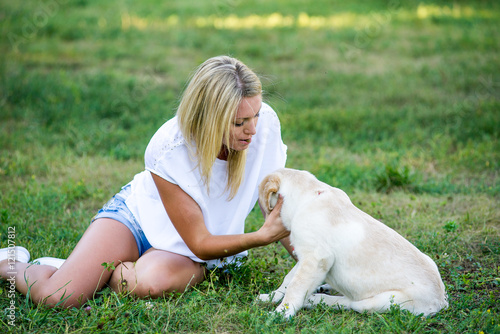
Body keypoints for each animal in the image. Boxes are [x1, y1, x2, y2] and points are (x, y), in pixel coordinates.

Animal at [258, 168, 450, 318]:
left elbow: (295, 287)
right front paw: (272, 296)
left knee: (350, 303)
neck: (309, 196)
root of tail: (442, 301)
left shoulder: (317, 257)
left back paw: (314, 300)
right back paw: (323, 288)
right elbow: (288, 279)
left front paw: (281, 313)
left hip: (380, 301)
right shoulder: (306, 256)